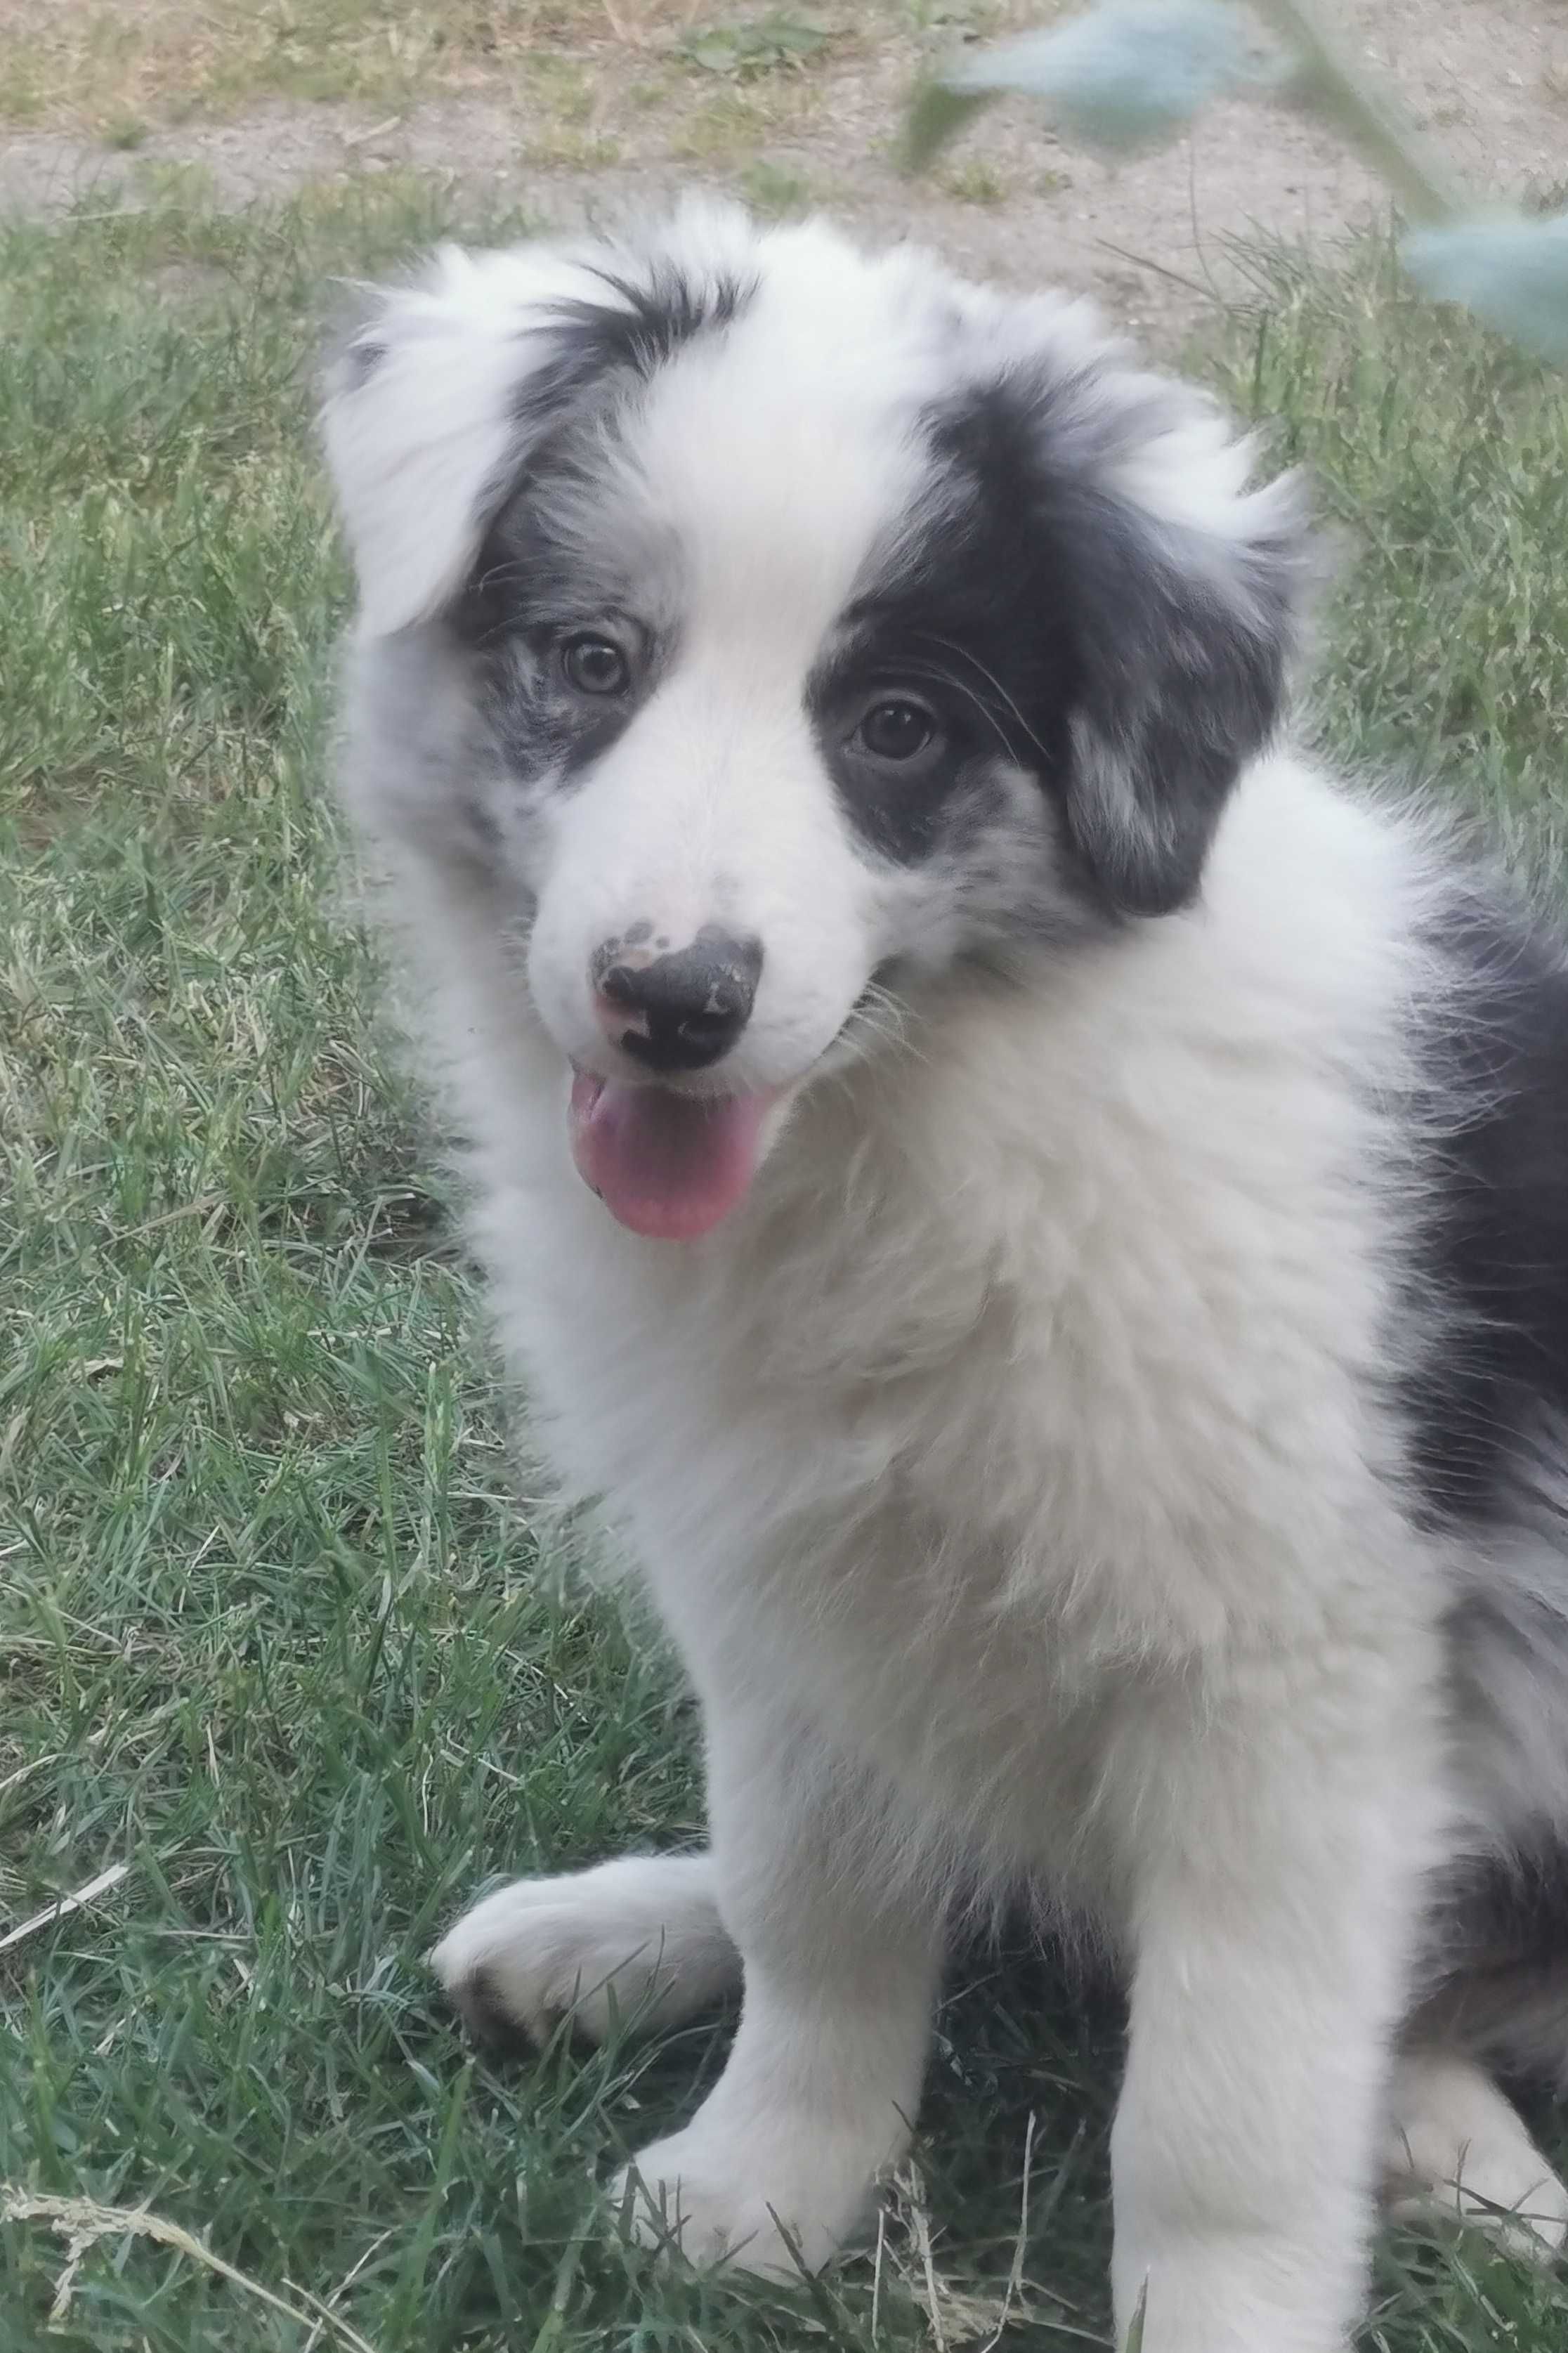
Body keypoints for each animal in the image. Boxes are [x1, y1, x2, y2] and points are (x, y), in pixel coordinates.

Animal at [322, 202, 1563, 2353]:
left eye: (895, 728)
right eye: (591, 662)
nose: (669, 1000)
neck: (935, 1102)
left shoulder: (1293, 1677)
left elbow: (1227, 2086)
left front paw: (1220, 2309)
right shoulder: (790, 1585)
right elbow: (813, 1901)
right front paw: (761, 2189)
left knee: (1402, 2010)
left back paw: (1452, 2147)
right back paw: (606, 1932)